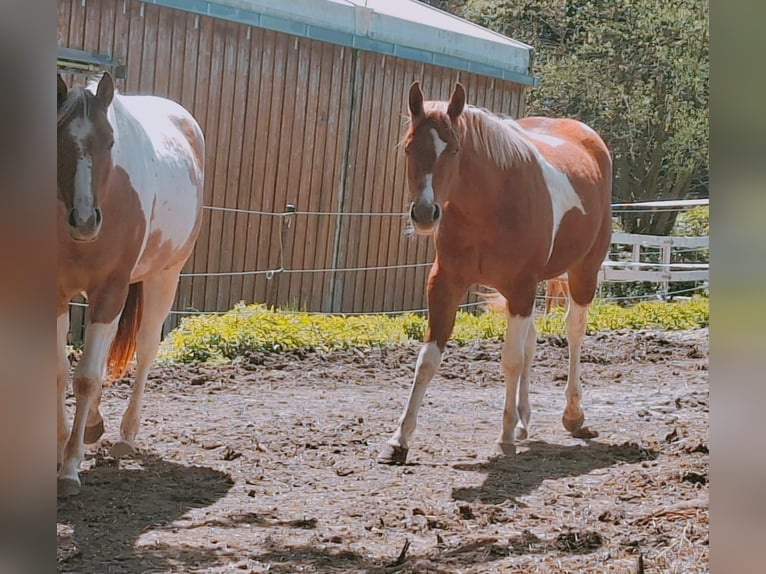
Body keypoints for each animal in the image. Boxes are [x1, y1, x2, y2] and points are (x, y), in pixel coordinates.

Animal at [57, 72, 205, 495]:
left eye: (110, 141)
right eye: (57, 139)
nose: (84, 220)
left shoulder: (111, 289)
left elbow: (86, 378)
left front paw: (69, 467)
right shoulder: (54, 290)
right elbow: (60, 371)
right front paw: (61, 444)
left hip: (163, 276)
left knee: (146, 347)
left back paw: (126, 435)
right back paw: (94, 426)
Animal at [378, 81, 612, 464]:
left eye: (454, 148)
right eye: (410, 147)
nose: (425, 213)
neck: (490, 205)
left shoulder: (520, 287)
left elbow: (510, 360)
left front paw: (504, 437)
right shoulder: (445, 283)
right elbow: (427, 360)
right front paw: (399, 441)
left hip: (583, 272)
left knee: (574, 332)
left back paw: (573, 416)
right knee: (532, 341)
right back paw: (524, 421)